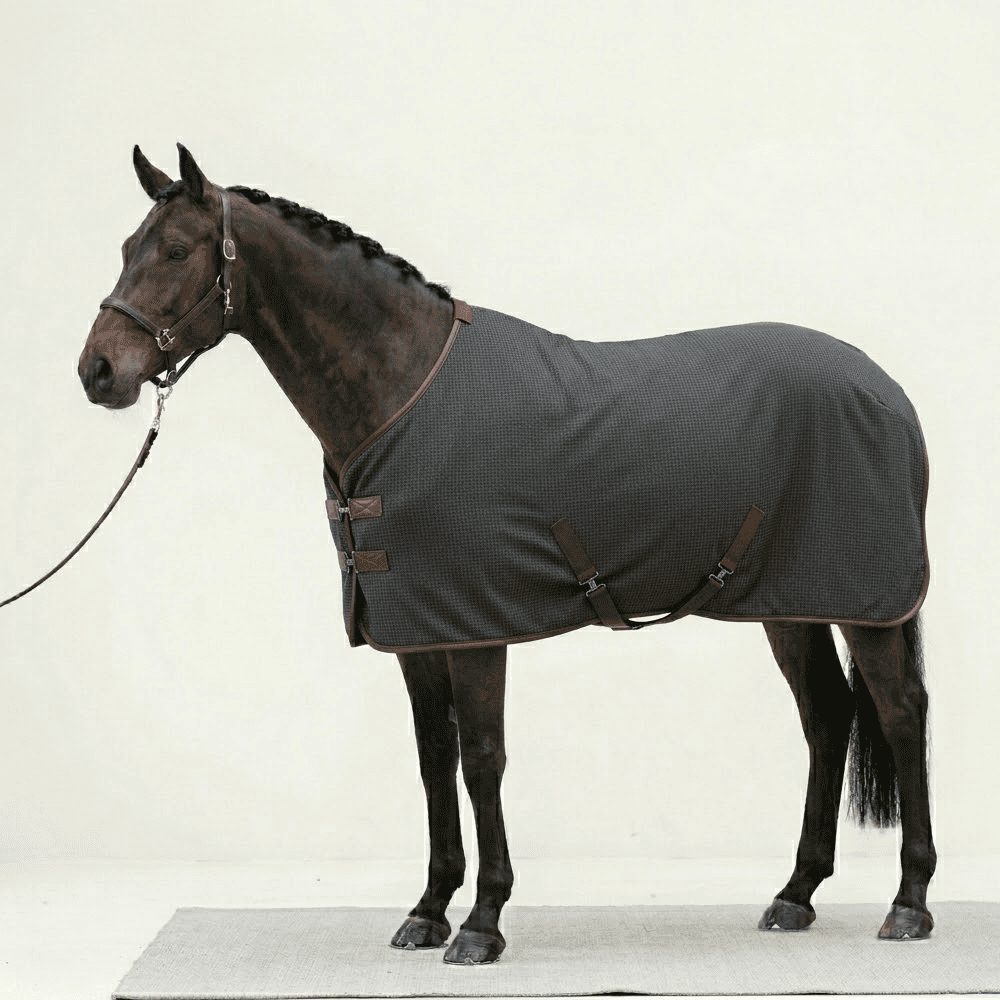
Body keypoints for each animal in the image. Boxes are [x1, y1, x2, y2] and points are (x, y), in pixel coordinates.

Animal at [77, 144, 934, 965]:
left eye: (177, 250)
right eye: (126, 247)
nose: (98, 371)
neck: (400, 393)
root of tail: (886, 389)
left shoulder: (476, 625)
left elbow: (482, 758)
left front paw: (482, 923)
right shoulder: (417, 630)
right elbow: (434, 759)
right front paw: (427, 911)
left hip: (869, 603)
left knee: (899, 713)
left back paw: (909, 903)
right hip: (790, 603)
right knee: (827, 716)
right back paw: (795, 894)